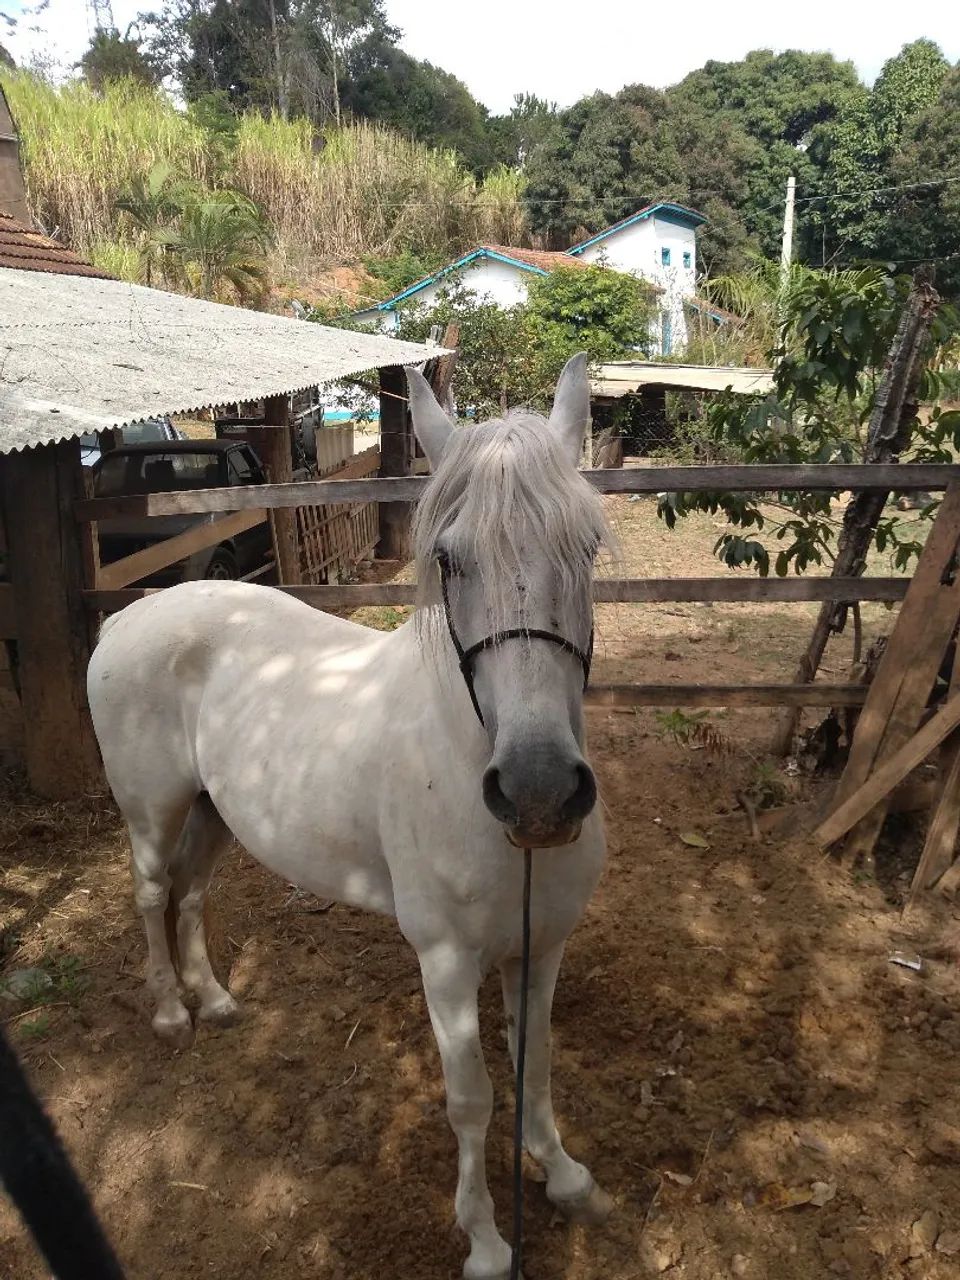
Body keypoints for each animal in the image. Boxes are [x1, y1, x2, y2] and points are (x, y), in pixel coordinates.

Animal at [87, 353, 614, 1279]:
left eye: (584, 546)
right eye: (449, 559)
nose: (540, 791)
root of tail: (126, 617)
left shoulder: (540, 947)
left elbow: (537, 1066)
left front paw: (563, 1175)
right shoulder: (446, 962)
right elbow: (472, 1097)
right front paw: (485, 1239)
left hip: (215, 815)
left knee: (192, 895)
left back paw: (213, 999)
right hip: (151, 812)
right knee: (152, 895)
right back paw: (169, 1012)